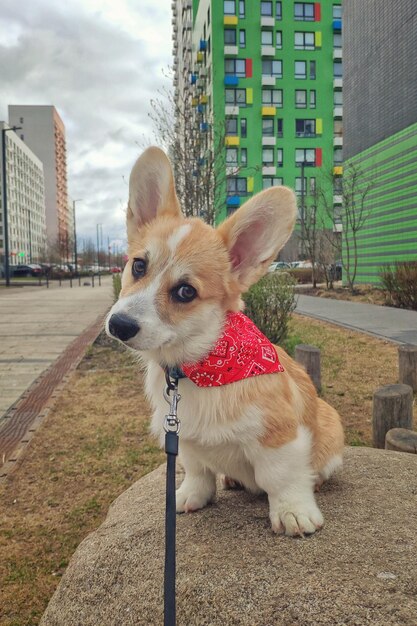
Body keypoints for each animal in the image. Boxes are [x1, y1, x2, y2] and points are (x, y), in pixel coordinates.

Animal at [105, 147, 342, 536]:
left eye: (186, 292)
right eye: (138, 266)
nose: (119, 325)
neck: (199, 364)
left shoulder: (280, 435)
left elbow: (282, 478)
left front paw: (293, 512)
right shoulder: (184, 438)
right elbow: (198, 471)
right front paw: (190, 496)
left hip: (331, 425)